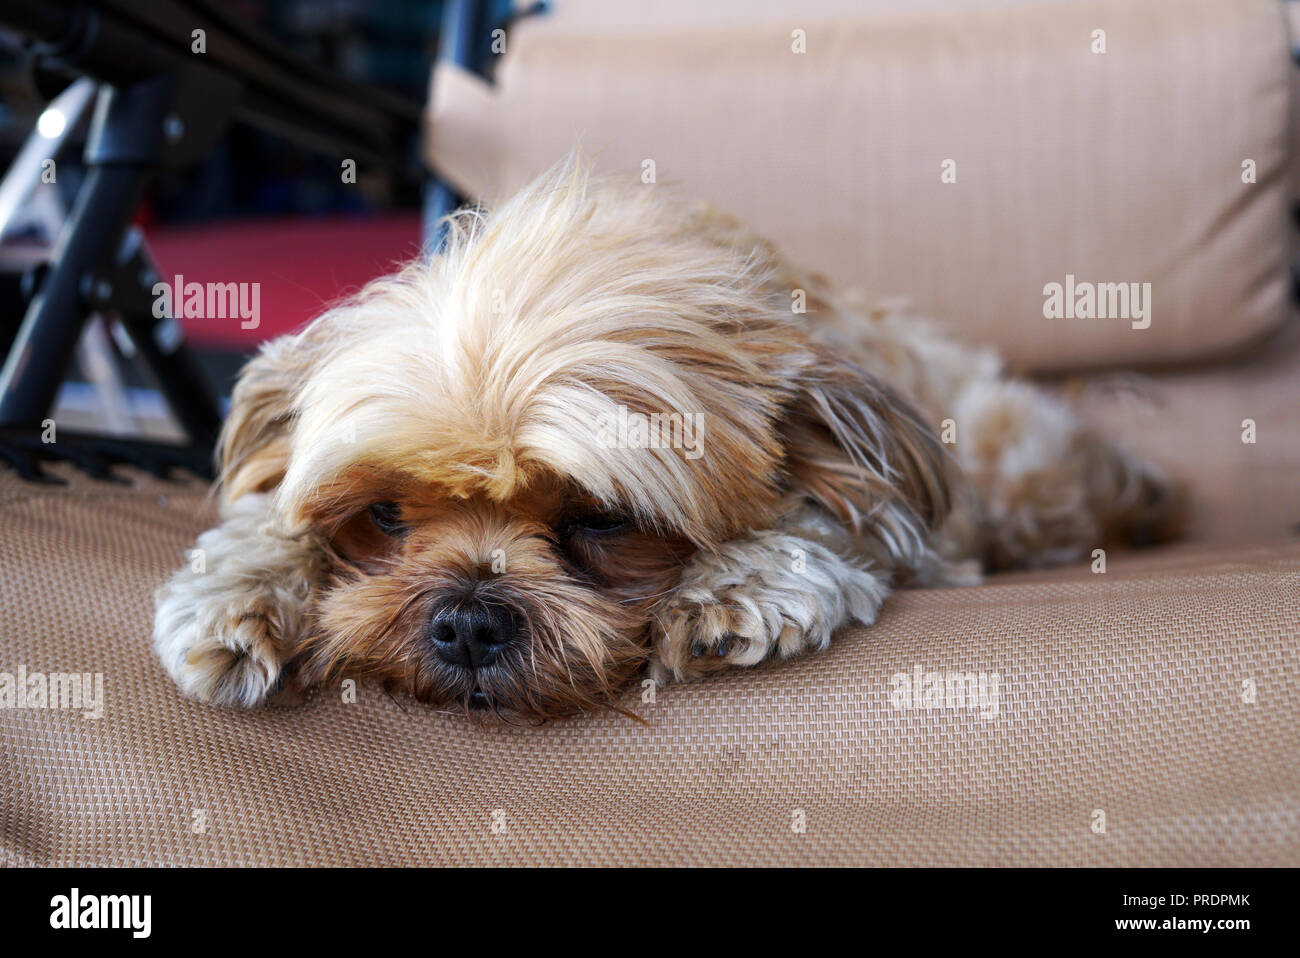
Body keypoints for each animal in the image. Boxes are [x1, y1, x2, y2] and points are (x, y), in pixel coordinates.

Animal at [152, 155, 1180, 717]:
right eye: (386, 517)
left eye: (604, 520)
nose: (468, 617)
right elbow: (263, 524)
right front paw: (238, 590)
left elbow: (824, 524)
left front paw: (740, 582)